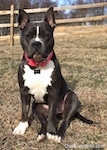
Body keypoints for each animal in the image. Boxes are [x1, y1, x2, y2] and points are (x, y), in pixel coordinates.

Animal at [13, 7, 93, 143]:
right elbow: (24, 110)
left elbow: (50, 115)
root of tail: (59, 114)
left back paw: (57, 135)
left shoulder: (53, 93)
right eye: (28, 36)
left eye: (46, 35)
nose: (36, 43)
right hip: (36, 106)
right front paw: (22, 127)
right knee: (43, 121)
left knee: (65, 120)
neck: (38, 66)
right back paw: (41, 134)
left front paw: (51, 132)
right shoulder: (24, 92)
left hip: (72, 98)